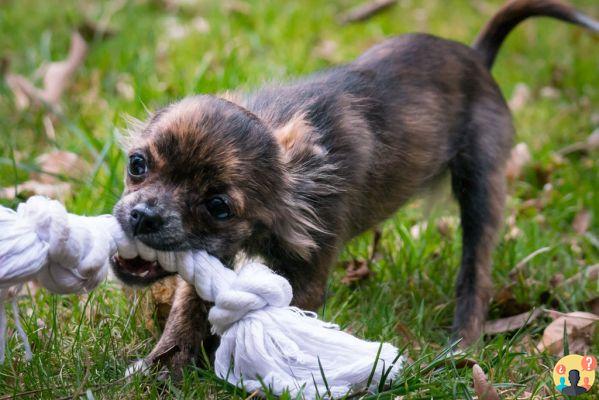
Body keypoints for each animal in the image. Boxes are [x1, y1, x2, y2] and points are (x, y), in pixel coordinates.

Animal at [110, 0, 596, 376]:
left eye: (218, 206)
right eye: (137, 164)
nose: (143, 216)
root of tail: (477, 57)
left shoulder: (306, 274)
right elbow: (187, 311)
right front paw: (162, 368)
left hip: (482, 186)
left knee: (475, 271)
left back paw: (462, 343)